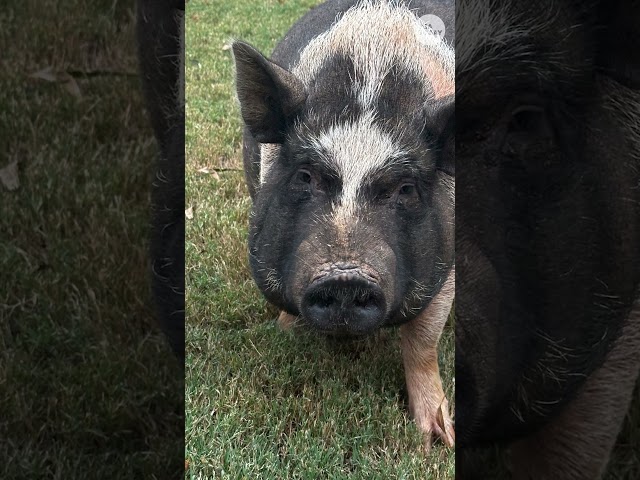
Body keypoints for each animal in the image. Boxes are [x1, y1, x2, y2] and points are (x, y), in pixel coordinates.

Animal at [232, 0, 458, 450]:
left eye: (406, 188)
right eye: (304, 176)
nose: (345, 275)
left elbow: (423, 341)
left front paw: (437, 440)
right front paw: (284, 333)